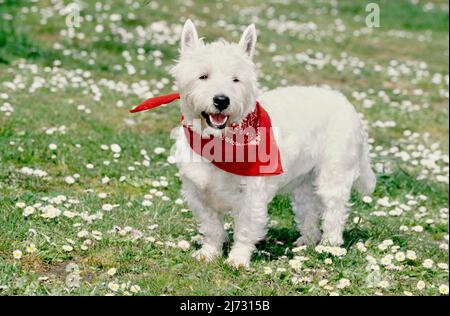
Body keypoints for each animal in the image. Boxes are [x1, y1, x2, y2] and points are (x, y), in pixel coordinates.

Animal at [169, 19, 376, 268]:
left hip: (334, 173)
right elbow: (211, 227)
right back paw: (307, 241)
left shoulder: (251, 193)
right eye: (203, 76)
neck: (217, 143)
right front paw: (209, 252)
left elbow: (245, 229)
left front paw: (238, 259)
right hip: (303, 182)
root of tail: (347, 105)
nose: (221, 100)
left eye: (236, 79)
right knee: (307, 210)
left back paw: (330, 245)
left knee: (334, 209)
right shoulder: (197, 192)